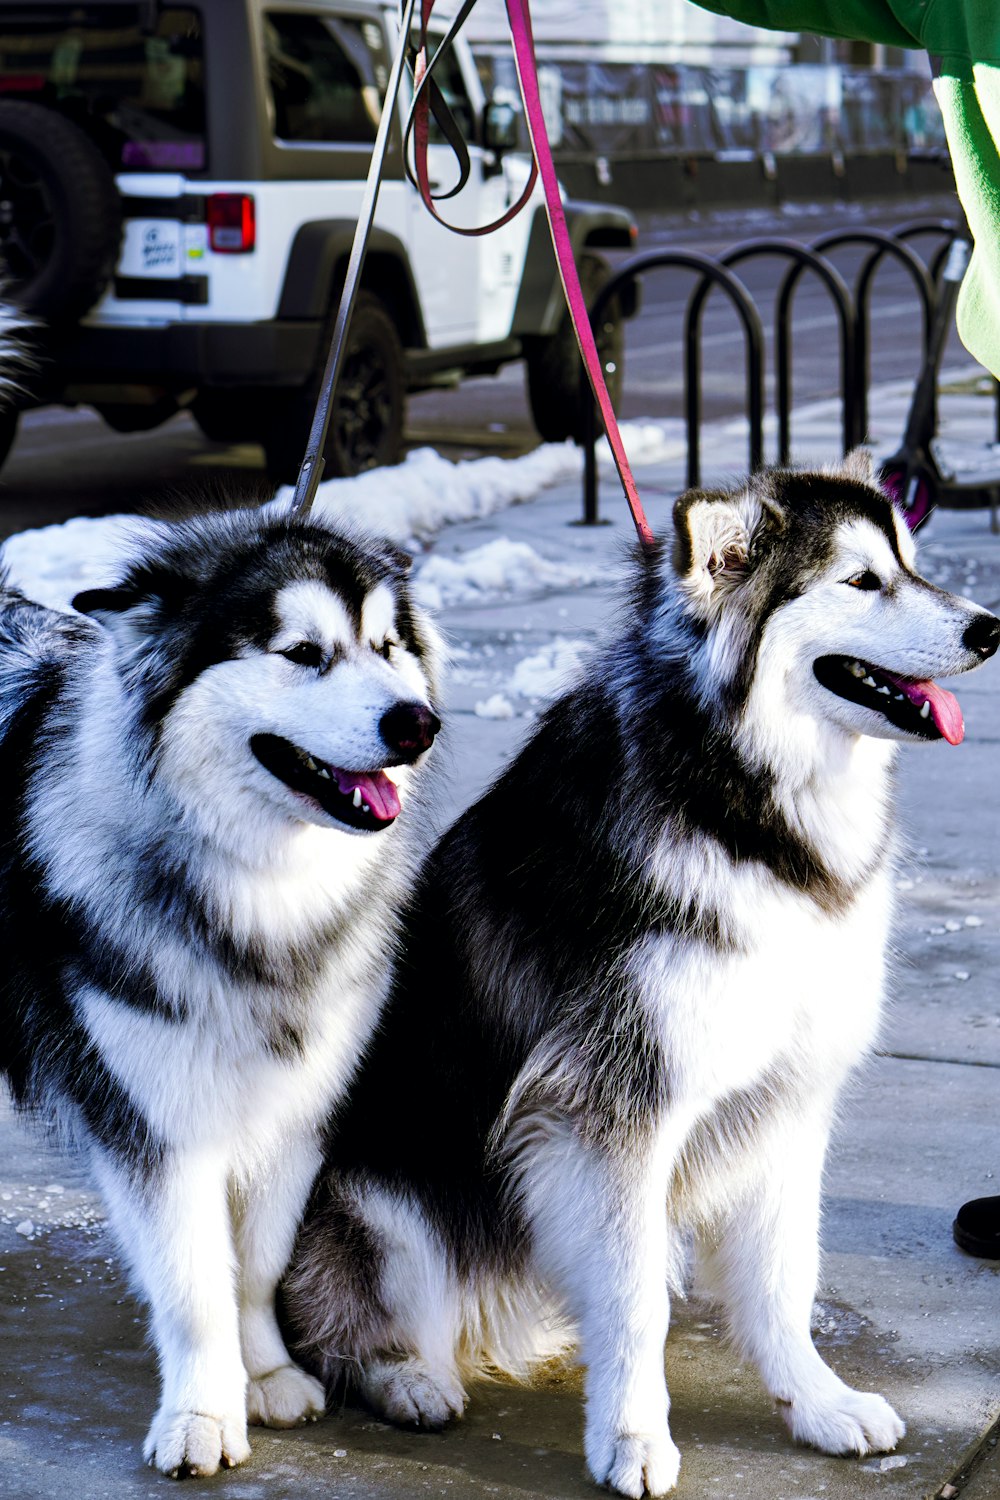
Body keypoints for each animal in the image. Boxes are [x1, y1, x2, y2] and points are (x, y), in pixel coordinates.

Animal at [0, 504, 440, 1476]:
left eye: (387, 646)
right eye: (302, 653)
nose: (417, 723)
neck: (252, 885)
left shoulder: (298, 1104)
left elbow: (259, 1265)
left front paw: (266, 1373)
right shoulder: (155, 1119)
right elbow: (196, 1281)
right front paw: (203, 1413)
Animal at [284, 456, 1000, 1500]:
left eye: (914, 564)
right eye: (863, 581)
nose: (991, 628)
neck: (744, 797)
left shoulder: (787, 1097)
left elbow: (783, 1279)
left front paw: (816, 1402)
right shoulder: (610, 1110)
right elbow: (633, 1302)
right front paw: (631, 1437)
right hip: (389, 1196)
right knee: (338, 1324)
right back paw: (408, 1377)